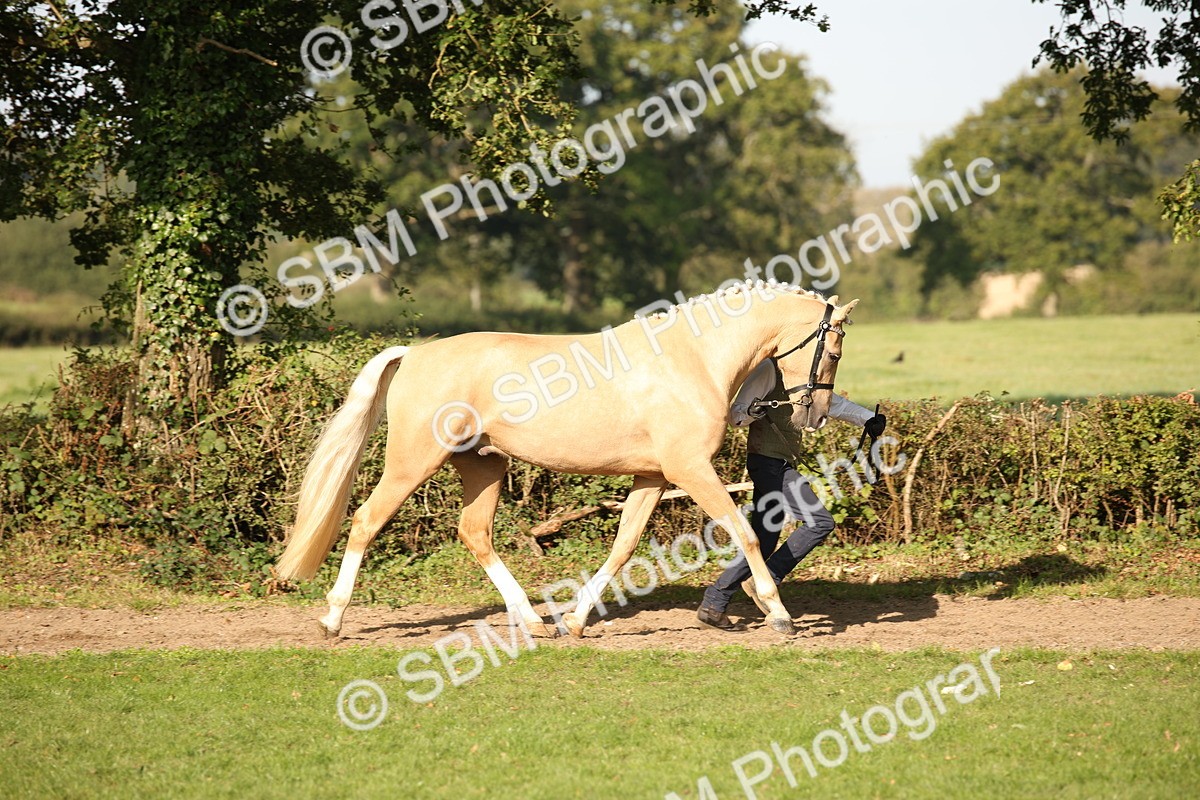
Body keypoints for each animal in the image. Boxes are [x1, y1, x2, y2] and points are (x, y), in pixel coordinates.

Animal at [275, 280, 859, 639]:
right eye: (833, 351)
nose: (815, 413)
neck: (692, 360)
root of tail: (414, 352)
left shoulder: (652, 477)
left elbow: (623, 546)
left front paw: (575, 621)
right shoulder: (690, 470)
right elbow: (743, 531)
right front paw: (776, 612)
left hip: (484, 466)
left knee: (474, 533)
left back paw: (533, 621)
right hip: (412, 463)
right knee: (365, 521)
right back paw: (332, 620)